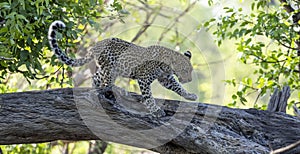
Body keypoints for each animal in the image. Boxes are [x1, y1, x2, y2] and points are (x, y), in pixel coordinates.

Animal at [47, 20, 197, 116]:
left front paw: (190, 96)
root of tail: (95, 46)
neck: (167, 66)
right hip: (109, 67)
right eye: (185, 70)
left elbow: (178, 87)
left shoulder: (166, 78)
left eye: (190, 71)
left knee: (97, 77)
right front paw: (156, 110)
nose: (190, 80)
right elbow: (148, 96)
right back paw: (115, 89)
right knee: (104, 81)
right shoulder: (144, 79)